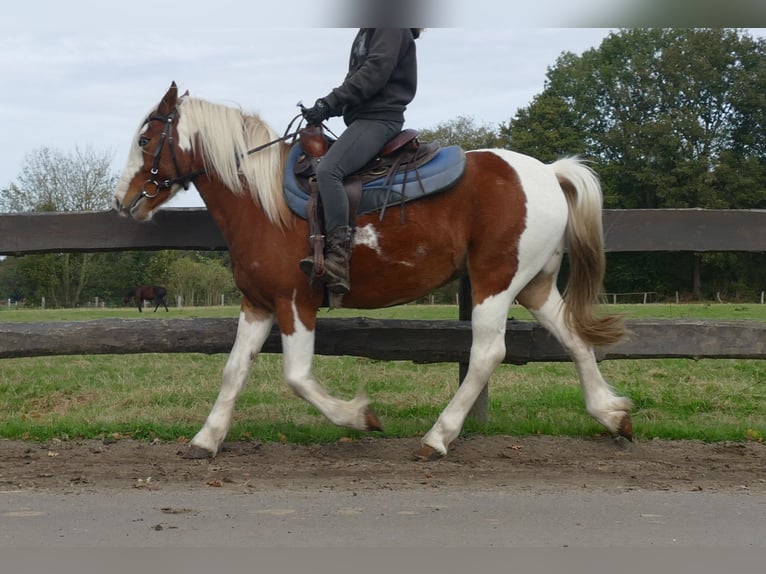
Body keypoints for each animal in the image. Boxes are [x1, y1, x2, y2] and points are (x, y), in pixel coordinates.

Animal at [111, 83, 632, 464]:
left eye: (144, 140)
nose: (122, 200)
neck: (262, 203)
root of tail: (548, 172)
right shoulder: (258, 303)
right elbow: (234, 370)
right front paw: (207, 438)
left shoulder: (295, 302)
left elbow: (297, 376)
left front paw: (361, 417)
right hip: (536, 285)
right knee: (572, 337)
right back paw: (611, 414)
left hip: (495, 282)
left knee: (487, 354)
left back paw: (437, 437)